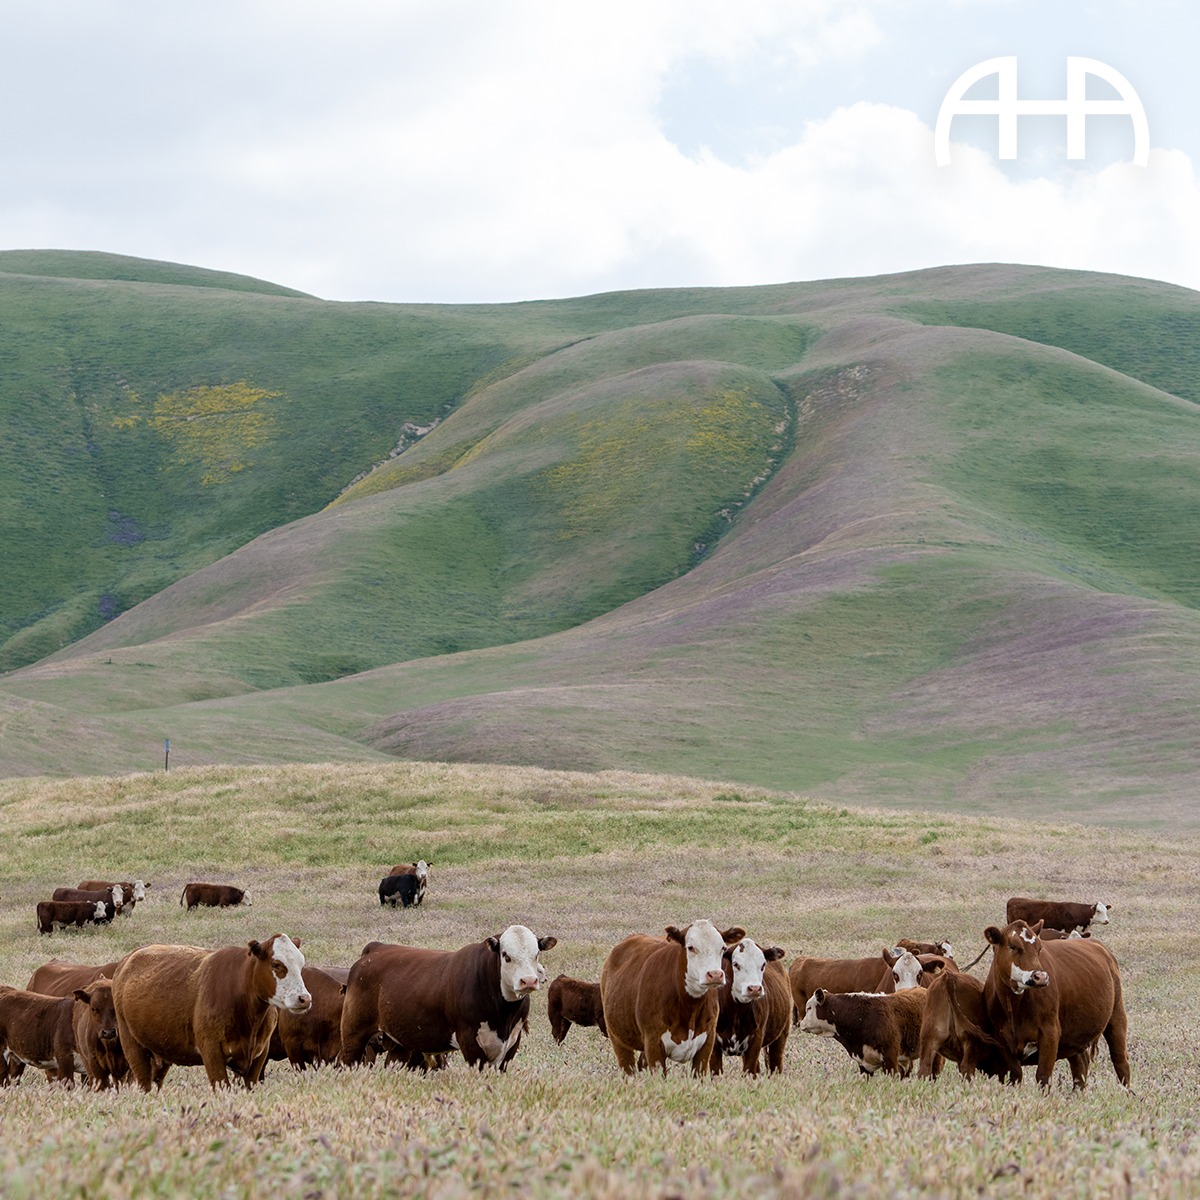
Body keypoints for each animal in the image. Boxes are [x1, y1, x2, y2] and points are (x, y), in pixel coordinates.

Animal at [112, 934, 309, 1091]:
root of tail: (127, 960)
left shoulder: (259, 1056)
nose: (304, 998)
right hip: (132, 1046)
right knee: (144, 1083)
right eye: (276, 964)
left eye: (301, 965)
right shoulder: (212, 1051)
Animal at [339, 926, 555, 1071]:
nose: (528, 981)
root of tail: (376, 949)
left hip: (398, 1041)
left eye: (536, 954)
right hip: (353, 1033)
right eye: (506, 956)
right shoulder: (469, 1040)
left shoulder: (512, 1042)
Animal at [600, 920, 745, 1077]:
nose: (715, 974)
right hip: (617, 1038)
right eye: (691, 947)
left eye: (723, 947)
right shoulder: (653, 1044)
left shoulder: (707, 1043)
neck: (690, 1008)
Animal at [710, 938, 790, 1076]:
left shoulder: (756, 1039)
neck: (735, 1012)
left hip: (781, 1034)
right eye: (736, 964)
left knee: (775, 1064)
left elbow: (749, 1071)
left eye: (763, 965)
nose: (754, 989)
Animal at [981, 919, 1130, 1089]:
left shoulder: (1050, 1032)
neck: (1013, 1006)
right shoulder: (1001, 1040)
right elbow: (1015, 1075)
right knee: (1080, 1067)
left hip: (1117, 1017)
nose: (1041, 977)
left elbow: (1043, 1077)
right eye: (1012, 946)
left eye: (1039, 948)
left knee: (1121, 1062)